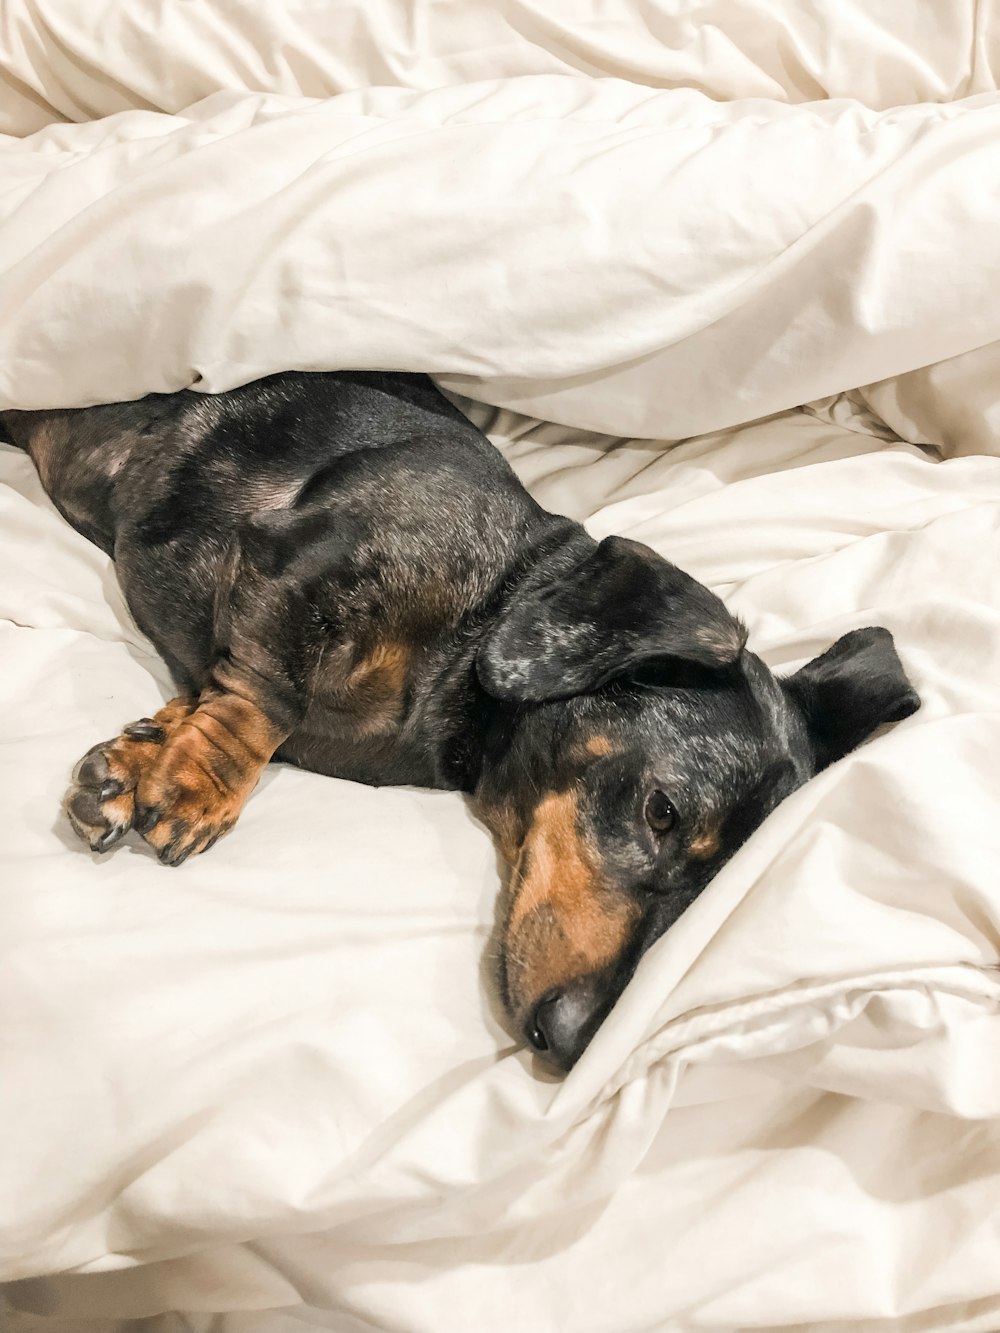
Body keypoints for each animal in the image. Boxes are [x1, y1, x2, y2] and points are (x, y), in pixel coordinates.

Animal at [1, 373, 922, 1071]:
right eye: (662, 812)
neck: (480, 628)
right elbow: (269, 698)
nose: (572, 1042)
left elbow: (221, 681)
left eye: (717, 891)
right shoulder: (300, 555)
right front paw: (199, 778)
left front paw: (144, 757)